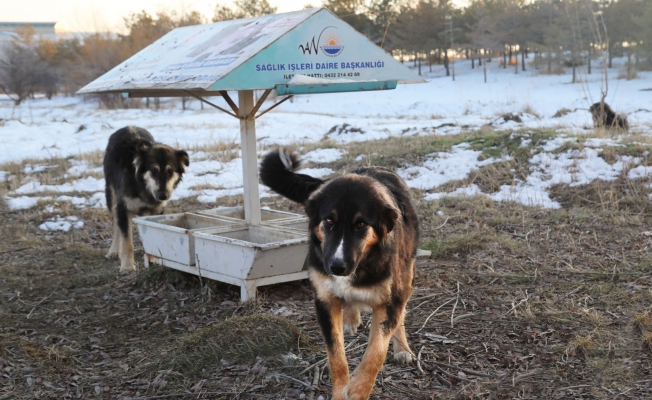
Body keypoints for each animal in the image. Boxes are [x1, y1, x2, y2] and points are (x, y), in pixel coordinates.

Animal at [102, 126, 188, 274]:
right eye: (154, 170)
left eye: (170, 171)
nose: (163, 196)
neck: (142, 186)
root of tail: (127, 126)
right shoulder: (123, 208)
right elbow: (127, 242)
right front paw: (127, 266)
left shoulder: (155, 211)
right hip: (111, 196)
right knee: (116, 225)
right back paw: (113, 251)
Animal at [260, 149, 418, 400]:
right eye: (329, 221)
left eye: (361, 225)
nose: (336, 267)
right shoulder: (325, 301)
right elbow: (336, 356)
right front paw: (340, 390)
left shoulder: (388, 301)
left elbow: (375, 353)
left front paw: (357, 390)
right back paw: (351, 317)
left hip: (406, 274)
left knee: (401, 312)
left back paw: (402, 347)